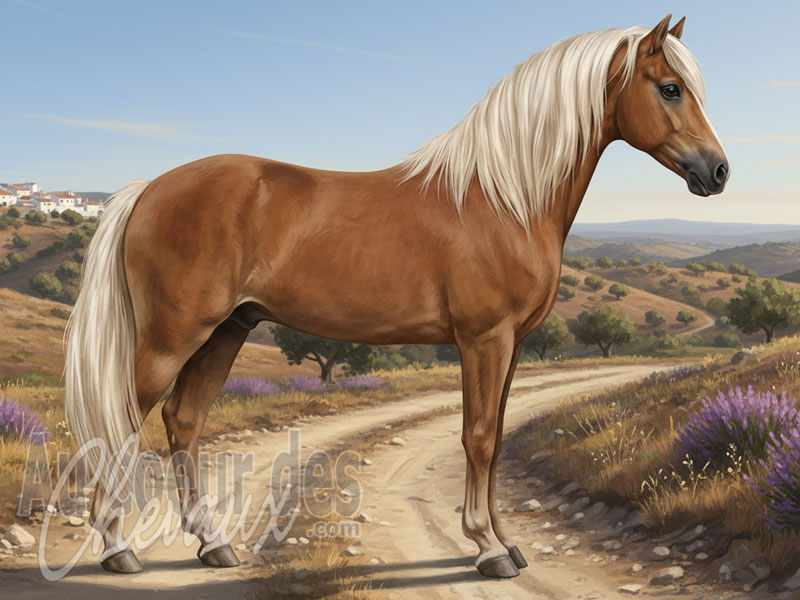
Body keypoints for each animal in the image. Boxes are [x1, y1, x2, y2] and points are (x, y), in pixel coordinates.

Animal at [65, 14, 728, 578]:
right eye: (671, 88)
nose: (718, 172)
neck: (503, 197)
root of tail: (149, 189)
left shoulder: (512, 345)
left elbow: (496, 435)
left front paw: (507, 542)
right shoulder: (483, 339)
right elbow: (478, 437)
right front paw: (487, 549)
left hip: (226, 330)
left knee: (184, 421)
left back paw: (213, 545)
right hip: (173, 336)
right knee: (124, 419)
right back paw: (119, 550)